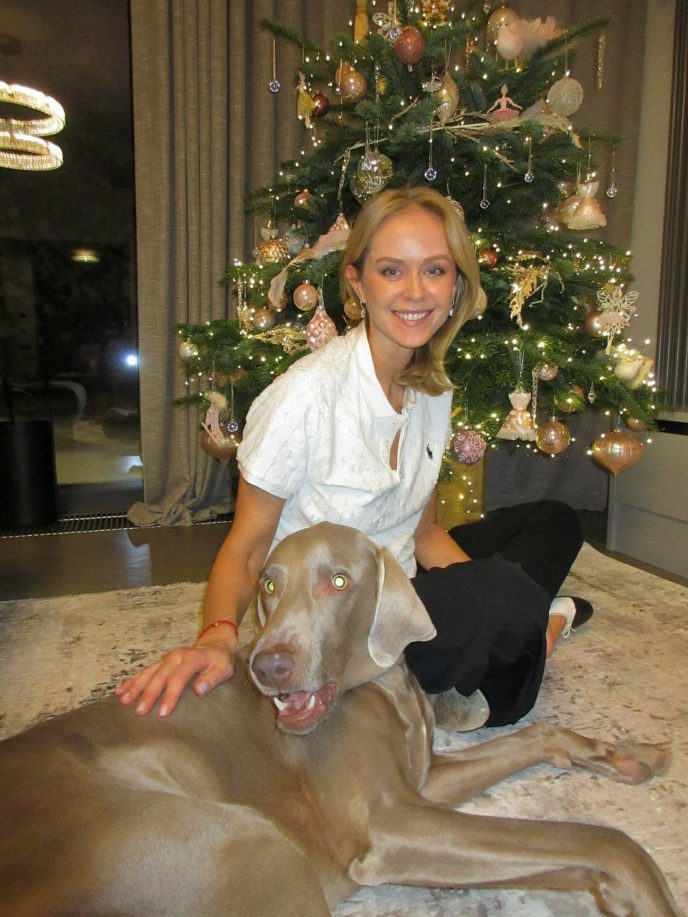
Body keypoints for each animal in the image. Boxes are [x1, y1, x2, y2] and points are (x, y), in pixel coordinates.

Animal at [0, 522, 678, 916]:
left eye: (339, 581)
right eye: (269, 586)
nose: (270, 668)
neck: (379, 687)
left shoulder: (424, 783)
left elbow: (539, 737)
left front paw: (627, 755)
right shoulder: (389, 825)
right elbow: (601, 838)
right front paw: (642, 893)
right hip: (247, 845)